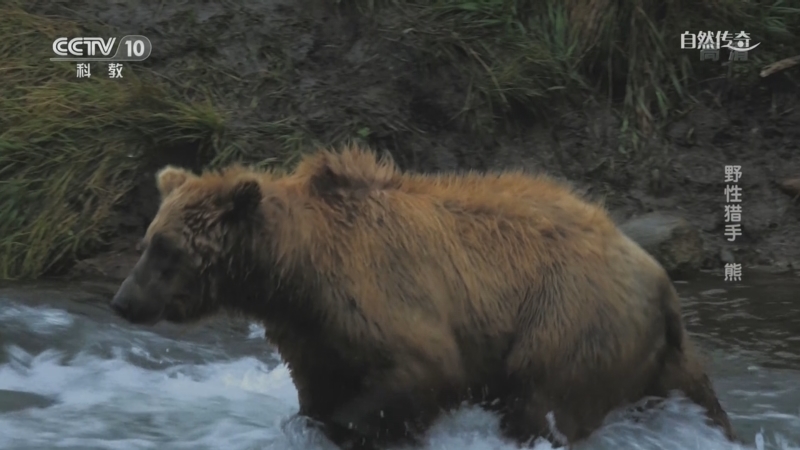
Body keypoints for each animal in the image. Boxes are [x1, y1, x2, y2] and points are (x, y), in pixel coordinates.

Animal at [110, 144, 736, 449]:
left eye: (166, 250)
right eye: (147, 241)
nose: (122, 301)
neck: (295, 272)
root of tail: (657, 277)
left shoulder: (381, 296)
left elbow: (419, 371)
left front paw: (355, 428)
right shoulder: (311, 333)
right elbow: (318, 391)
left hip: (569, 322)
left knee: (542, 406)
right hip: (653, 356)